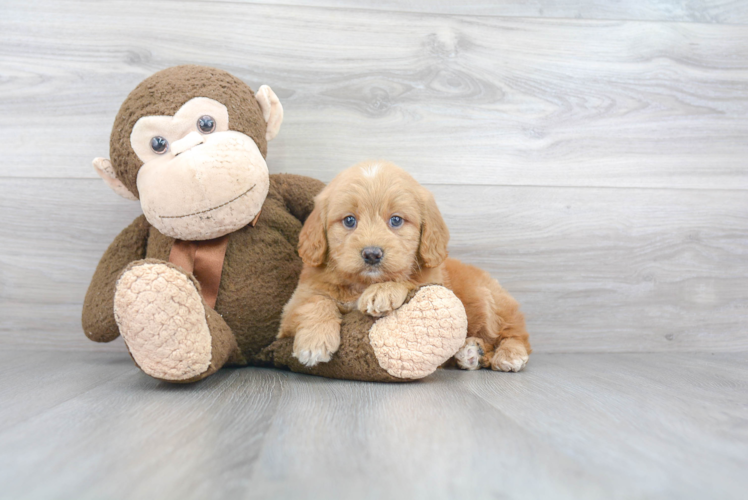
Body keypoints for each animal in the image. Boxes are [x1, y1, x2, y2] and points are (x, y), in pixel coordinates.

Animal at [280, 160, 532, 372]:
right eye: (349, 220)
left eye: (396, 220)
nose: (372, 254)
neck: (362, 283)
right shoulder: (293, 307)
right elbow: (315, 301)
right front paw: (314, 340)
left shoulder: (432, 281)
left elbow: (409, 281)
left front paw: (383, 291)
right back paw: (471, 353)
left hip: (490, 303)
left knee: (516, 335)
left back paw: (508, 354)